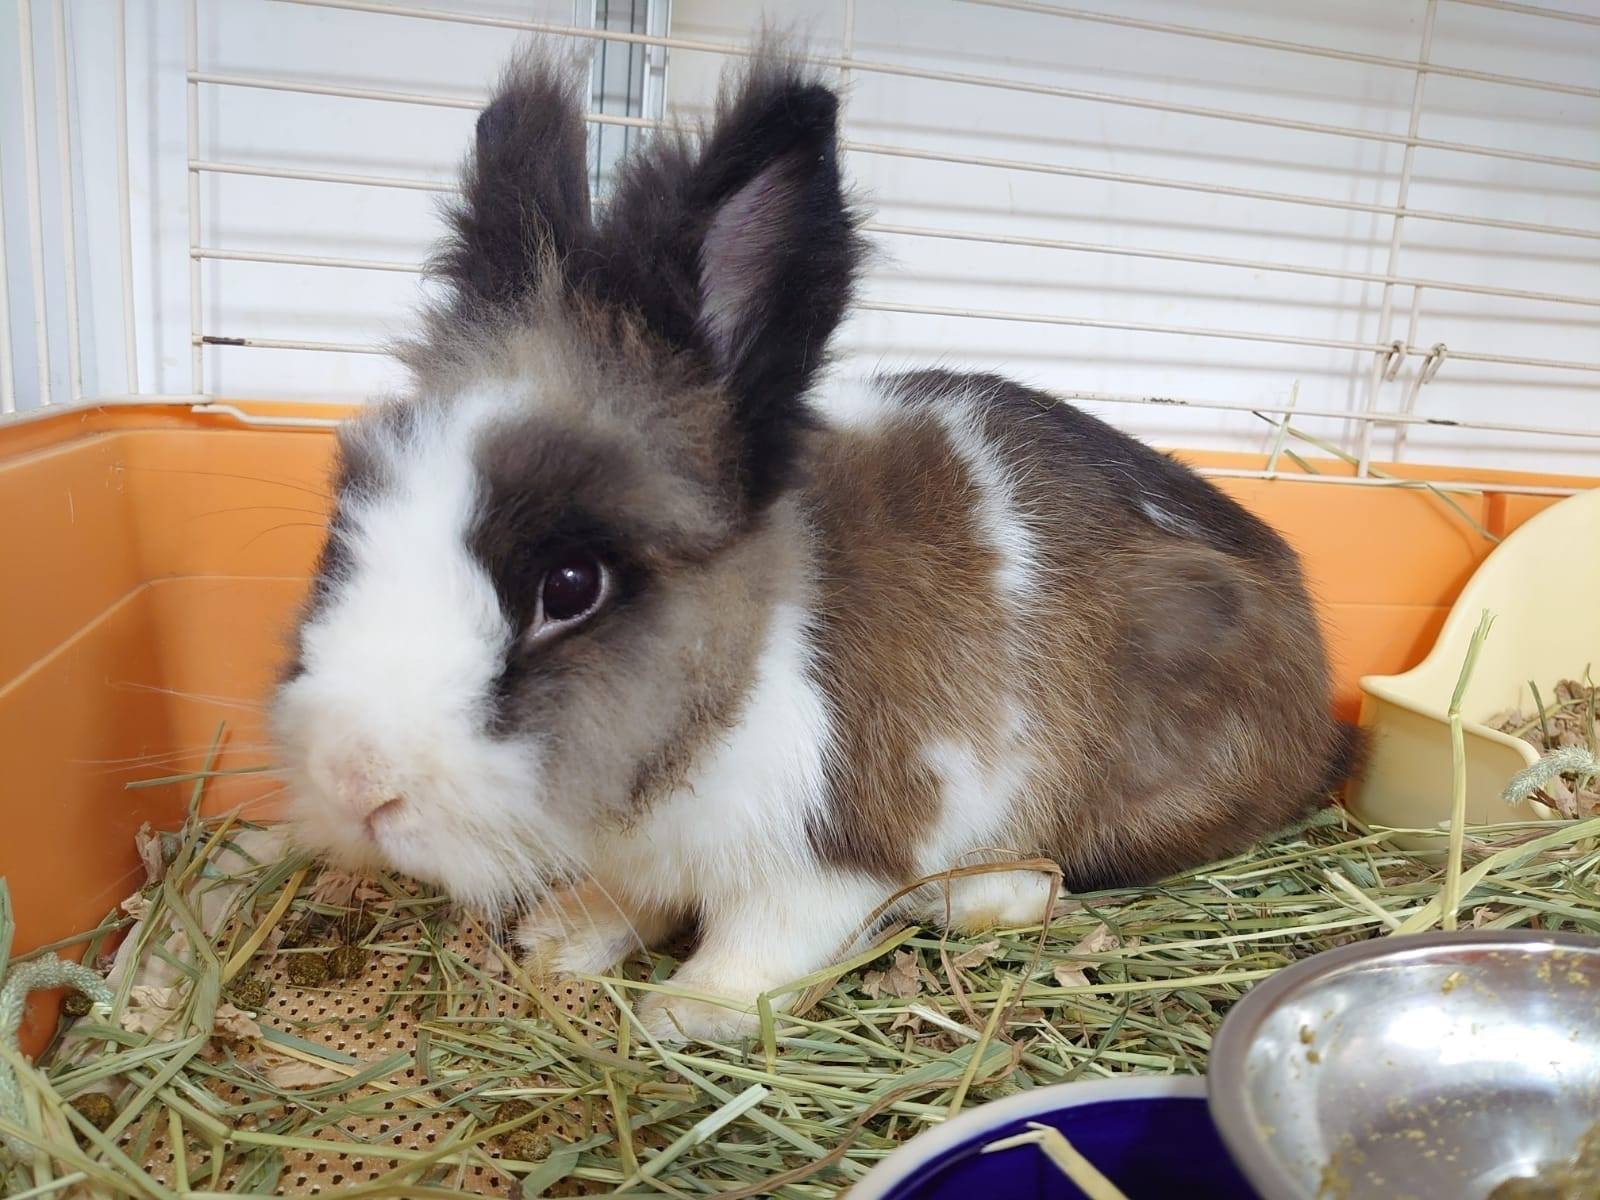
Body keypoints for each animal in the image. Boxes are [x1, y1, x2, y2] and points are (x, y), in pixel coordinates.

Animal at [271, 44, 1366, 1043]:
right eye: (348, 524)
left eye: (571, 585)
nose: (355, 783)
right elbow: (631, 901)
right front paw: (561, 938)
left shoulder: (826, 855)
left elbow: (763, 942)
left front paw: (683, 1013)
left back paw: (984, 898)